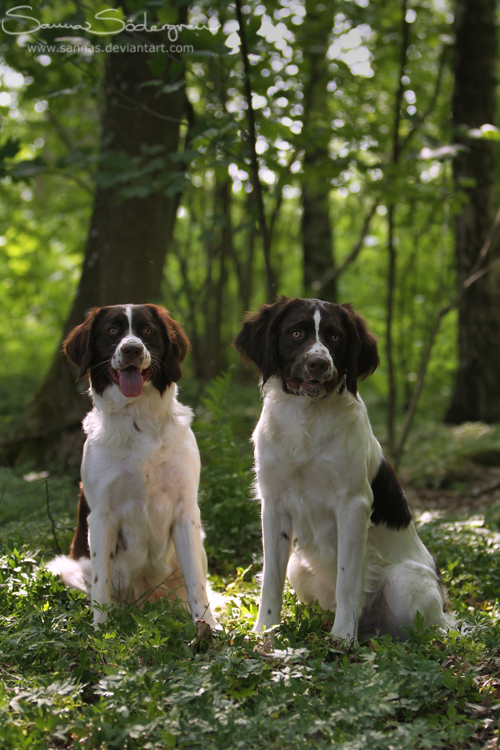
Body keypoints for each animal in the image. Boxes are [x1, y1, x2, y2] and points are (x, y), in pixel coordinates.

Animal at [47, 304, 218, 628]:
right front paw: (100, 629)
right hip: (66, 568)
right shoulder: (102, 515)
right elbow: (100, 584)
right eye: (112, 331)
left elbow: (196, 583)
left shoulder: (186, 509)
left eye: (147, 330)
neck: (138, 420)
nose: (131, 350)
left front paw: (208, 627)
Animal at [235, 296, 454, 644]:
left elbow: (348, 579)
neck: (306, 417)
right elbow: (271, 578)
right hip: (300, 567)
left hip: (402, 582)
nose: (318, 364)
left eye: (335, 337)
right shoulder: (274, 504)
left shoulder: (352, 505)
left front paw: (341, 639)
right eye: (295, 333)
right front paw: (264, 632)